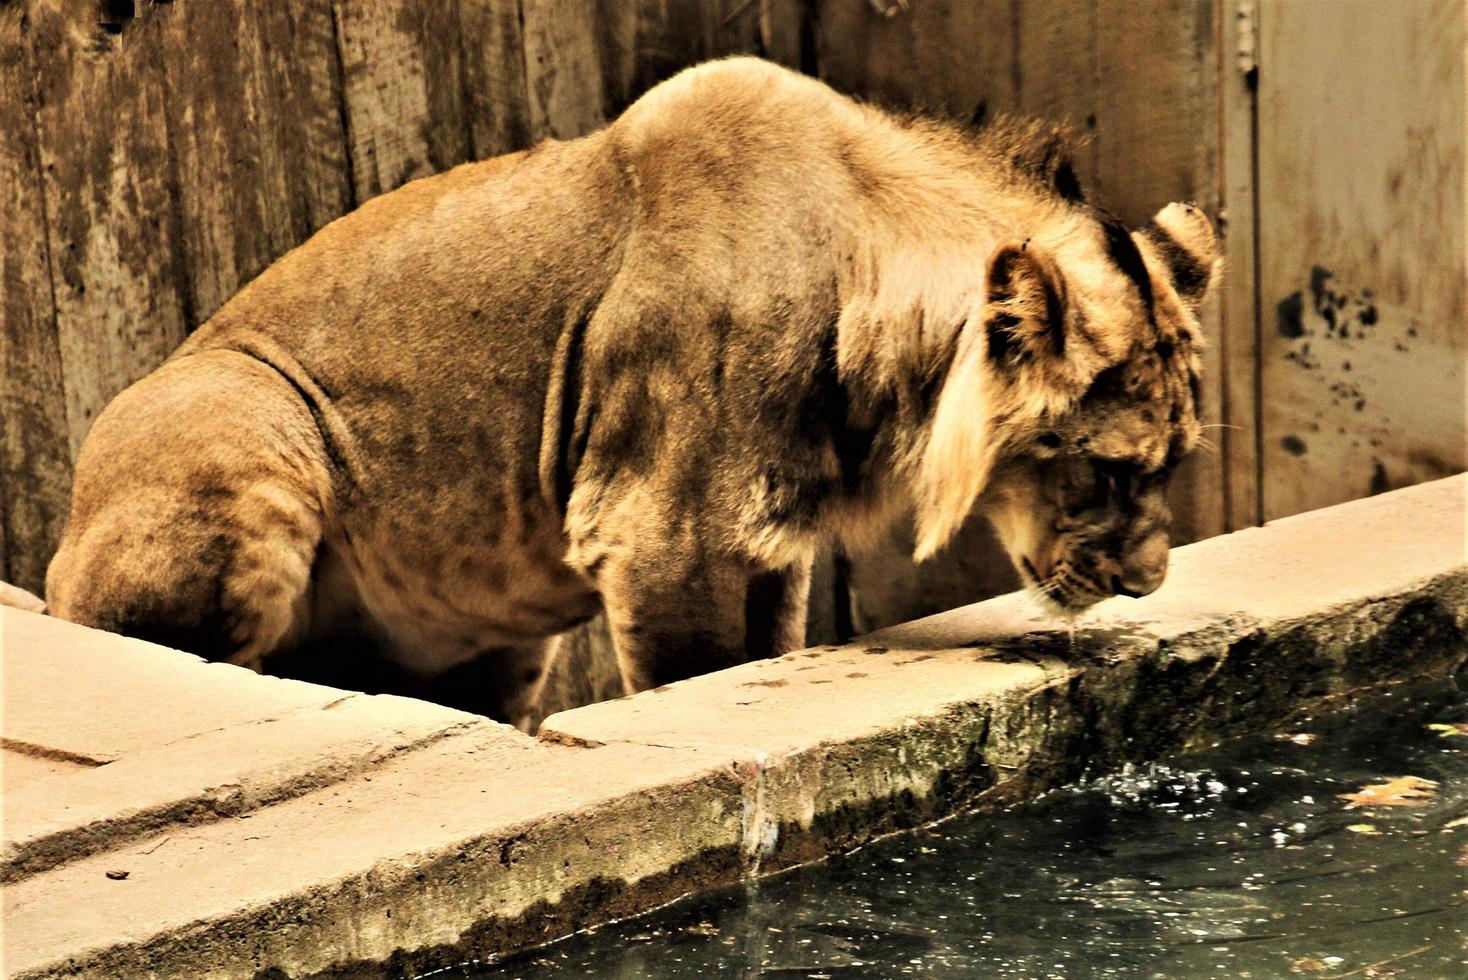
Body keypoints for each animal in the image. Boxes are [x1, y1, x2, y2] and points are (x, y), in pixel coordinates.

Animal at [45, 55, 1215, 727]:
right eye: (1109, 471)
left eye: (1174, 463)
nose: (1149, 582)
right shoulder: (664, 536)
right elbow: (693, 686)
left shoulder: (766, 545)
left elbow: (772, 654)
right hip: (245, 422)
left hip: (498, 642)